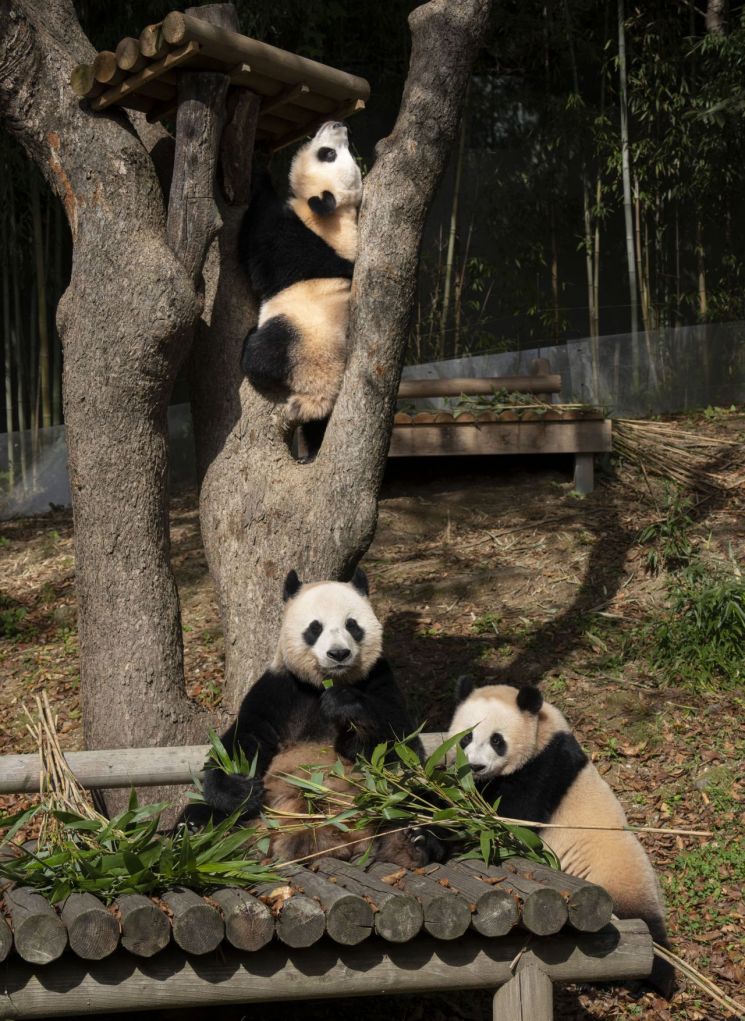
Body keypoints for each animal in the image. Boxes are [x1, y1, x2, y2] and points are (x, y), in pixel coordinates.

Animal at [186, 571, 440, 865]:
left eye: (352, 625)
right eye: (315, 628)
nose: (338, 654)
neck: (323, 683)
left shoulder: (379, 679)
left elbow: (399, 745)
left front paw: (343, 705)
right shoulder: (280, 689)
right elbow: (242, 741)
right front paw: (242, 790)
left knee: (419, 796)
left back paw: (414, 840)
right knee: (202, 813)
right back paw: (200, 838)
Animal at [239, 119, 361, 455]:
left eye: (327, 154)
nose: (338, 124)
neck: (336, 214)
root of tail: (318, 395)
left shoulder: (301, 240)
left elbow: (260, 255)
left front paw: (259, 172)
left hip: (298, 338)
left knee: (262, 357)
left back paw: (250, 346)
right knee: (317, 428)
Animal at [444, 677, 677, 996]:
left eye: (496, 740)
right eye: (466, 738)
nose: (476, 767)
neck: (542, 732)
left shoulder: (541, 771)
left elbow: (510, 822)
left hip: (619, 880)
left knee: (649, 934)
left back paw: (659, 979)